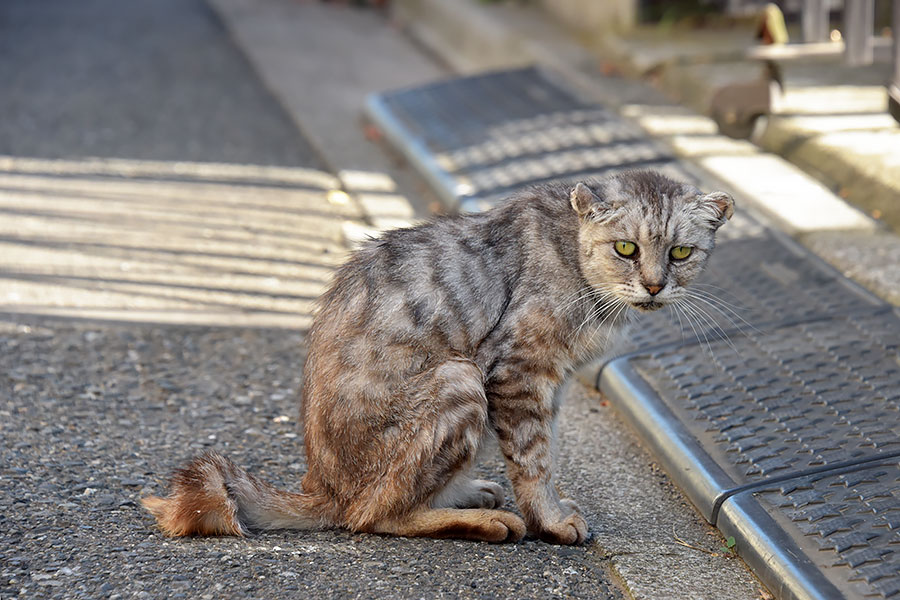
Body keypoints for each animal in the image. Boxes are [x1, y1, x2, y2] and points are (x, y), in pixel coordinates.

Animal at [141, 168, 732, 544]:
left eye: (681, 253)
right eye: (626, 249)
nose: (654, 285)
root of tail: (321, 486)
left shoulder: (554, 378)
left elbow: (545, 449)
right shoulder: (520, 369)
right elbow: (535, 458)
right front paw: (550, 519)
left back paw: (467, 492)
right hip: (458, 377)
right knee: (369, 515)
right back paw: (480, 522)